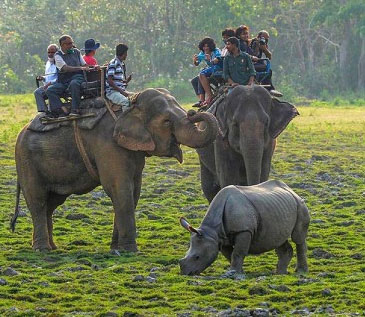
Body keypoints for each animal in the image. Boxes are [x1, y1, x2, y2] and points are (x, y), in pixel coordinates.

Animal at [11, 88, 218, 252]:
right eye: (167, 121)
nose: (193, 111)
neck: (129, 105)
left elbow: (133, 192)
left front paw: (116, 248)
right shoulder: (107, 145)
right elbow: (119, 189)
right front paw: (130, 250)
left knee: (51, 203)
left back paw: (52, 247)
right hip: (26, 161)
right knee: (38, 201)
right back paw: (42, 249)